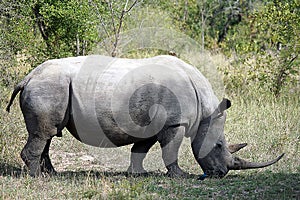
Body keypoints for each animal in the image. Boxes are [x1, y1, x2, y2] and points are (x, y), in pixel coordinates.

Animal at [7, 55, 284, 178]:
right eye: (218, 146)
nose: (221, 174)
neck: (206, 112)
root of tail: (27, 77)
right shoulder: (175, 122)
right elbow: (170, 150)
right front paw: (180, 176)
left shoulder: (154, 124)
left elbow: (140, 148)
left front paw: (136, 174)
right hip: (48, 86)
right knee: (44, 133)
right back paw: (37, 177)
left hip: (51, 86)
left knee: (48, 133)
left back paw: (51, 173)